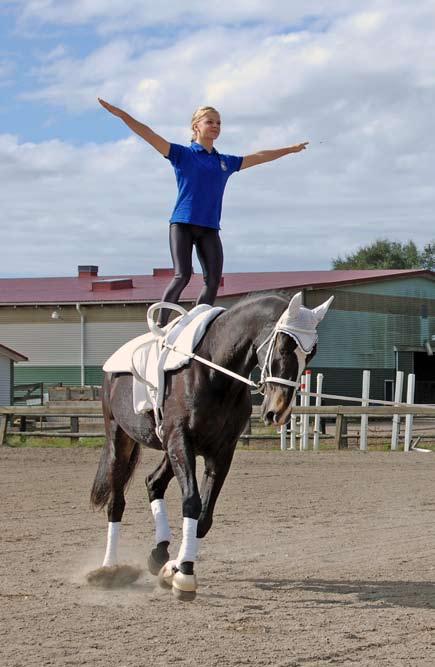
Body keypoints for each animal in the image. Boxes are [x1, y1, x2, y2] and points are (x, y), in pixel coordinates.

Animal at [88, 292, 334, 600]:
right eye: (283, 345)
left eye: (311, 353)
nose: (278, 411)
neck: (215, 372)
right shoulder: (180, 439)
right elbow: (192, 503)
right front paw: (185, 577)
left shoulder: (221, 450)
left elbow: (204, 517)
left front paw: (176, 568)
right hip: (120, 438)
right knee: (116, 501)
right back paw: (109, 569)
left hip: (169, 448)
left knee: (153, 482)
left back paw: (159, 554)